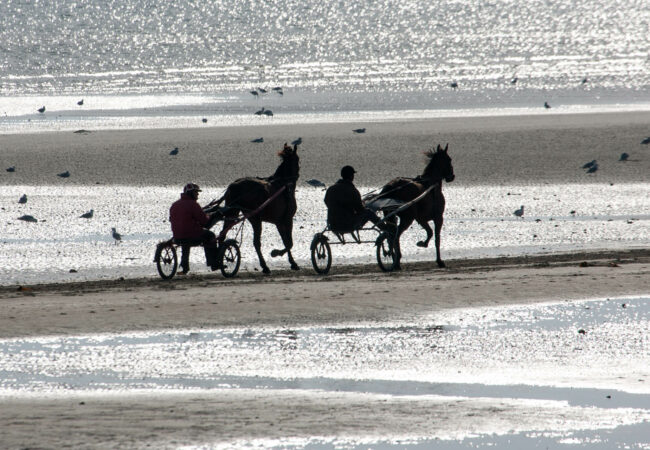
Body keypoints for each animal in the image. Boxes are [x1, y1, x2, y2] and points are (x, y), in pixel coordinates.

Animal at [216, 143, 300, 274]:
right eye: (298, 160)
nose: (297, 175)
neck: (283, 185)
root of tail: (234, 185)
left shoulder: (279, 222)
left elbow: (285, 241)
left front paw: (292, 262)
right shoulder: (287, 219)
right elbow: (289, 242)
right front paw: (277, 253)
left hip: (233, 213)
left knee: (223, 234)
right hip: (255, 218)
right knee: (256, 242)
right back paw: (264, 266)